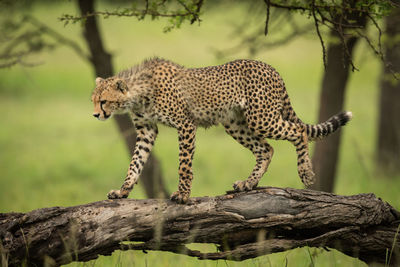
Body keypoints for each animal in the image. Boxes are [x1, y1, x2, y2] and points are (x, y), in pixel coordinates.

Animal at [92, 58, 352, 204]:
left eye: (104, 101)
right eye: (93, 101)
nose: (96, 115)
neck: (138, 92)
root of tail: (270, 67)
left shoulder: (186, 125)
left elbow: (184, 164)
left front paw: (183, 195)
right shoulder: (146, 130)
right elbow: (136, 162)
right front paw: (123, 191)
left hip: (261, 118)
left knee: (298, 130)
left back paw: (306, 172)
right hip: (235, 124)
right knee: (266, 149)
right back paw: (248, 183)